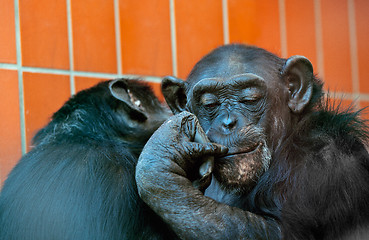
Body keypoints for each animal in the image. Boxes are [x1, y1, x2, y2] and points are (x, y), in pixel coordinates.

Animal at [134, 44, 368, 239]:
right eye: (210, 104)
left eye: (250, 99)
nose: (228, 123)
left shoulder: (324, 159)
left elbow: (276, 230)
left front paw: (160, 160)